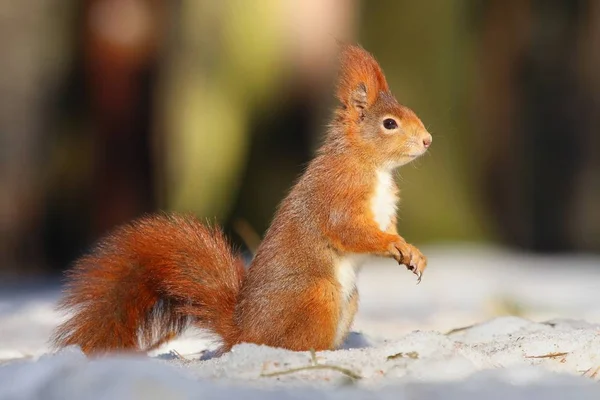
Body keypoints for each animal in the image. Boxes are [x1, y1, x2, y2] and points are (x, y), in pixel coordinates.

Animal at [51, 44, 432, 356]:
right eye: (389, 123)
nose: (428, 140)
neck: (371, 165)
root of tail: (243, 332)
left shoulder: (383, 211)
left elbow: (387, 228)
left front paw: (413, 252)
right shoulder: (337, 195)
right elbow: (350, 231)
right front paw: (392, 245)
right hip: (317, 296)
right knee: (294, 343)